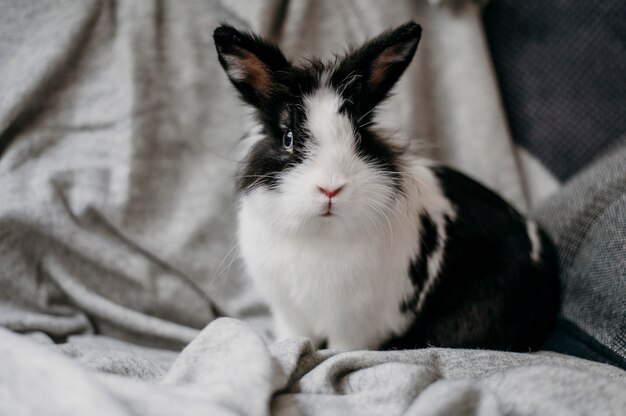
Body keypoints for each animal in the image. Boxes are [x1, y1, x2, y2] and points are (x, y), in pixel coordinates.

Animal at [212, 20, 560, 352]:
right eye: (288, 138)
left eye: (360, 137)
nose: (330, 189)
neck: (321, 233)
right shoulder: (289, 313)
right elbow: (293, 336)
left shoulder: (355, 323)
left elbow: (342, 350)